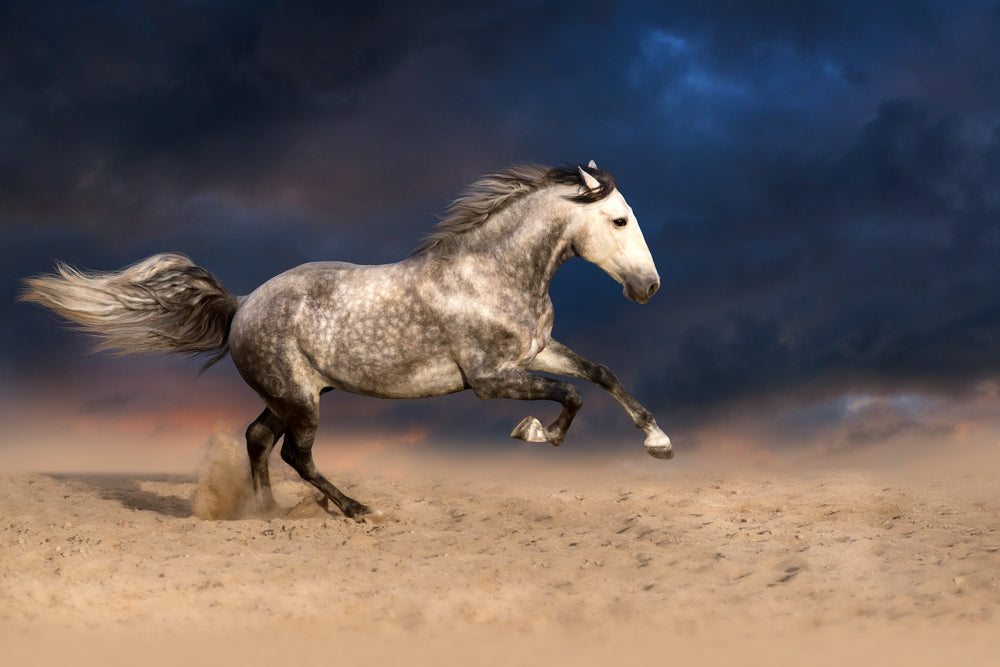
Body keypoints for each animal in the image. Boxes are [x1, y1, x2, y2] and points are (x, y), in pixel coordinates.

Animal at [21, 161, 672, 521]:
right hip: (300, 401)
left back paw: (267, 512)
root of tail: (241, 306)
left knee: (258, 439)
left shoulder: (535, 353)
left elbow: (601, 375)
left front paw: (658, 443)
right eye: (619, 220)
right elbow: (571, 396)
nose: (649, 287)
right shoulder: (490, 380)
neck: (489, 274)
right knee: (294, 454)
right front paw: (535, 433)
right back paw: (358, 509)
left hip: (297, 396)